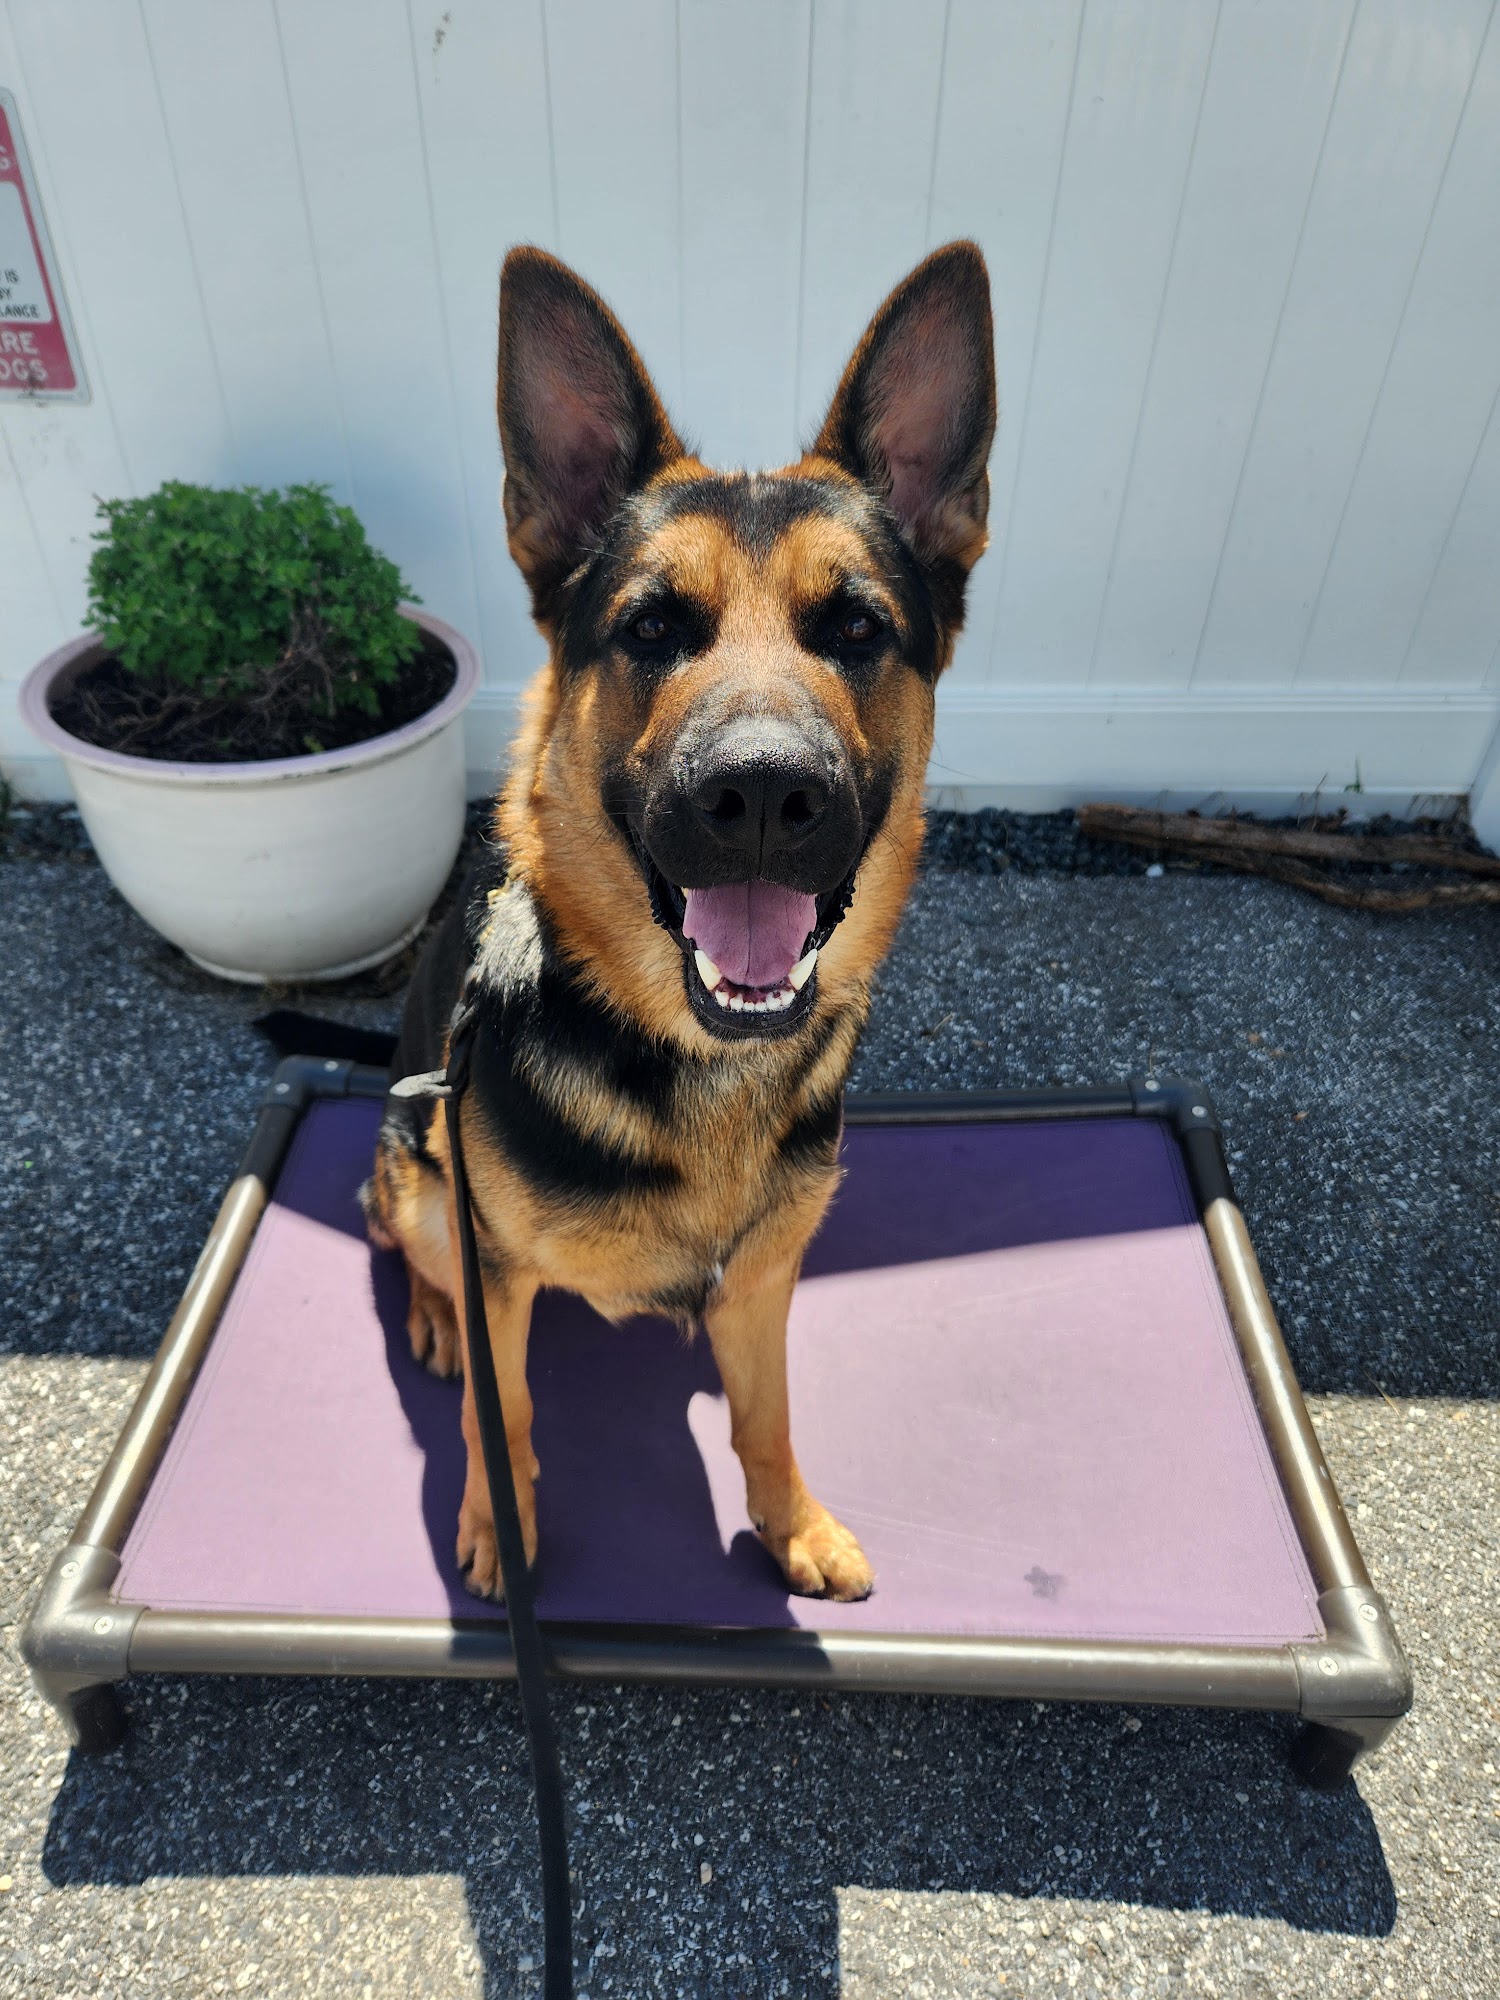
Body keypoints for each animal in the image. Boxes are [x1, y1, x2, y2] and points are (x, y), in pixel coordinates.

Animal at [365, 240, 996, 1604]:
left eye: (857, 626)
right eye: (653, 626)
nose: (760, 796)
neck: (696, 1059)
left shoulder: (766, 1277)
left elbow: (769, 1412)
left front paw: (788, 1519)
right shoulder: (499, 1267)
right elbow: (507, 1412)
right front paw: (501, 1522)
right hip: (419, 1172)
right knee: (403, 1241)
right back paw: (432, 1316)